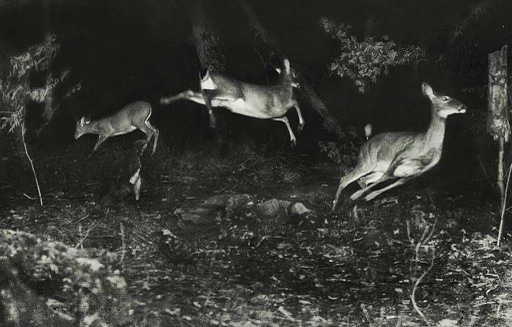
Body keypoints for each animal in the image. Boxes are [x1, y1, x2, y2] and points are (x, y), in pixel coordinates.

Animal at [160, 58, 304, 147]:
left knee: (191, 92)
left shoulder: (270, 114)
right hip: (231, 92)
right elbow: (296, 103)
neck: (285, 89)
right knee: (206, 93)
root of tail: (208, 75)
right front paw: (301, 125)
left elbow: (285, 118)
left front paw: (293, 140)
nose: (298, 84)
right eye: (294, 72)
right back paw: (212, 119)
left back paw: (165, 100)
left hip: (220, 100)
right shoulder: (279, 105)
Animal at [332, 81, 468, 210]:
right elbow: (388, 176)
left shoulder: (419, 172)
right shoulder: (401, 155)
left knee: (363, 180)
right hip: (366, 162)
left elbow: (395, 183)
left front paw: (369, 196)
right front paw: (356, 195)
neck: (428, 146)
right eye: (445, 98)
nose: (464, 106)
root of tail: (365, 143)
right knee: (345, 179)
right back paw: (335, 207)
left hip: (376, 168)